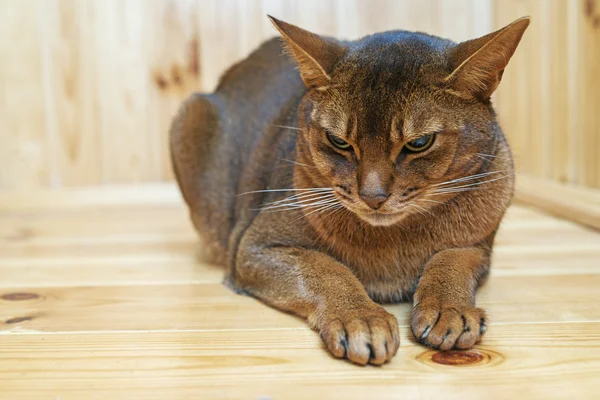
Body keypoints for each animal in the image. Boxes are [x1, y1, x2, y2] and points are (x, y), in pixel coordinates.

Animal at [170, 15, 528, 366]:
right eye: (338, 141)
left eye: (419, 143)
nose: (373, 196)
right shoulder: (253, 246)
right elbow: (325, 268)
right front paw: (361, 318)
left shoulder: (479, 246)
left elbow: (452, 258)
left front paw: (449, 309)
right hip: (190, 115)